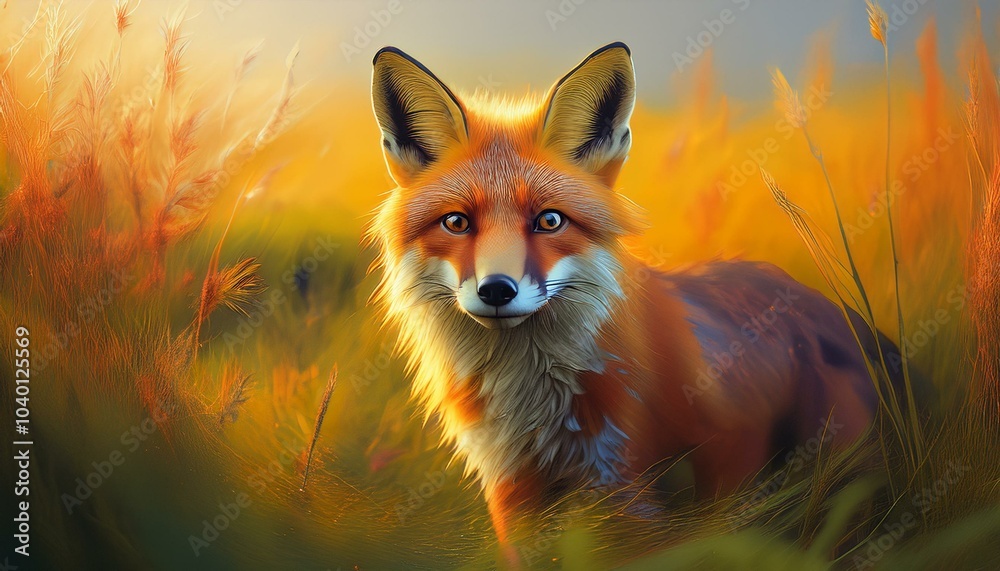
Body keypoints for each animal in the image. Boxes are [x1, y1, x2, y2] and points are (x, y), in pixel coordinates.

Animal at [367, 42, 904, 564]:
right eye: (457, 222)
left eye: (549, 221)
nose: (497, 290)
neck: (533, 400)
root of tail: (831, 309)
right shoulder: (512, 492)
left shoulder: (633, 490)